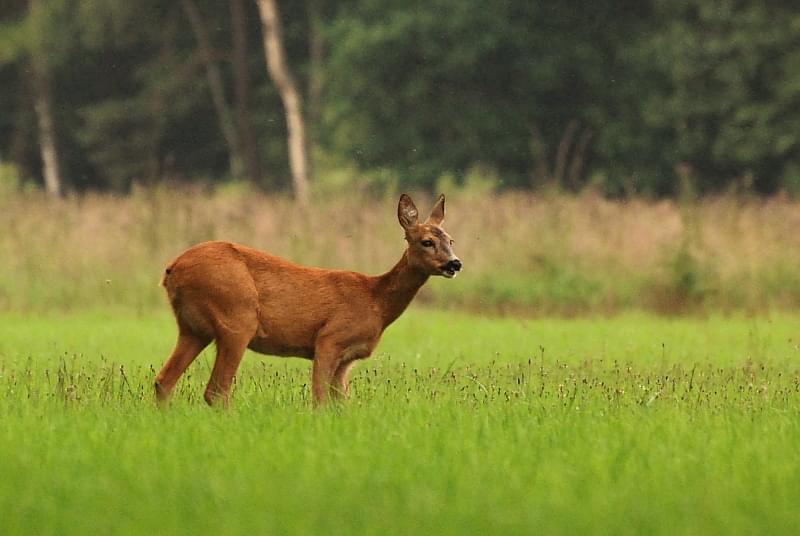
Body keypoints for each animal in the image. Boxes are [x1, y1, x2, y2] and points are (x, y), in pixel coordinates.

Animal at [152, 193, 460, 406]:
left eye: (451, 240)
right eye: (426, 241)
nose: (455, 263)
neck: (376, 302)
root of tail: (172, 269)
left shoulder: (347, 359)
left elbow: (342, 404)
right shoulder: (329, 339)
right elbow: (319, 400)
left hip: (192, 328)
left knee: (163, 381)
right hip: (236, 317)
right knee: (216, 391)